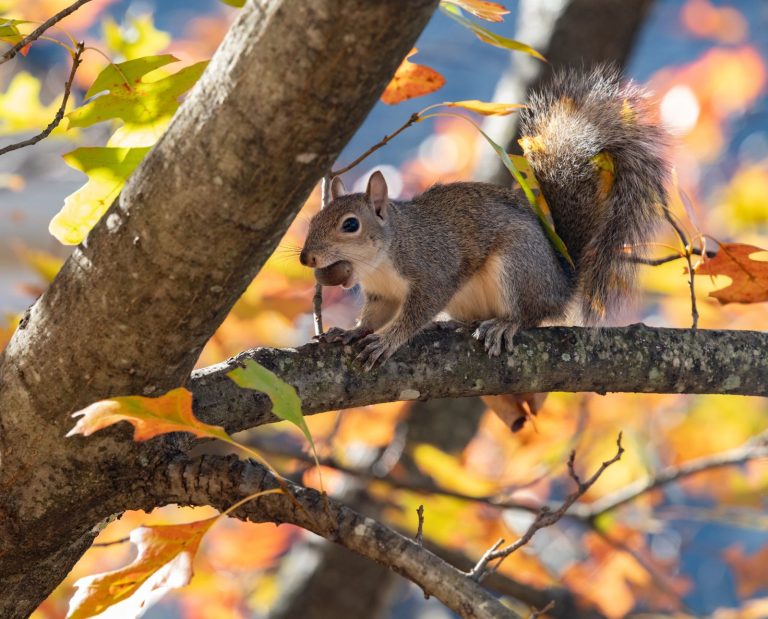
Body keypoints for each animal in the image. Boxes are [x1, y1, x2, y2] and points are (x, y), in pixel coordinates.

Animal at [300, 66, 670, 374]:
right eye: (314, 217)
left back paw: (506, 323)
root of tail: (561, 286)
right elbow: (374, 317)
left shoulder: (432, 269)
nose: (307, 258)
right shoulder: (382, 295)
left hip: (517, 265)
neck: (380, 260)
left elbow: (417, 311)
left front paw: (387, 340)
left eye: (350, 225)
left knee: (530, 314)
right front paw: (351, 332)